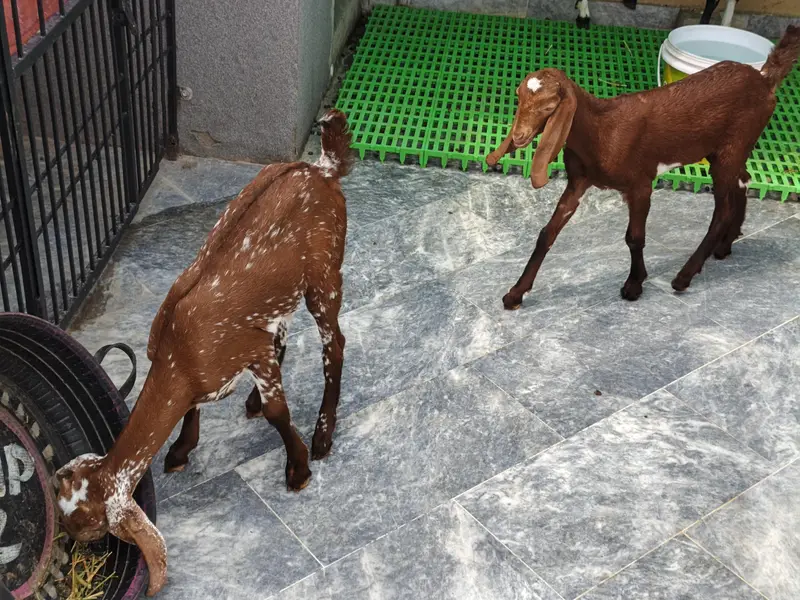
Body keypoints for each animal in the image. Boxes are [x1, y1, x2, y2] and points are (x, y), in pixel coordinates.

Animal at [53, 109, 353, 596]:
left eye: (89, 526)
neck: (179, 359)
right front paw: (179, 451)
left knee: (335, 344)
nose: (81, 550)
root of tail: (322, 166)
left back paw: (323, 435)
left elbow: (279, 412)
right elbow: (196, 407)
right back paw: (254, 402)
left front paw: (298, 469)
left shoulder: (249, 348)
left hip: (325, 272)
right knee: (285, 329)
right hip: (283, 294)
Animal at [486, 26, 800, 310]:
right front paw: (515, 294)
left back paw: (684, 276)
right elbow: (547, 234)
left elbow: (634, 238)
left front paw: (634, 285)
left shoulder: (640, 184)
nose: (519, 137)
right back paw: (725, 246)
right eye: (519, 97)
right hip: (727, 149)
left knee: (722, 209)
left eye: (550, 107)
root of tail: (764, 80)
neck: (601, 130)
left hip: (732, 147)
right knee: (744, 180)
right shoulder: (579, 181)